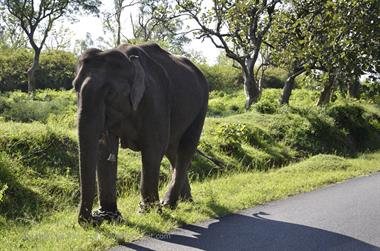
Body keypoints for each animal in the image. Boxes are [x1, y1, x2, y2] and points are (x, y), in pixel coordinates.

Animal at [72, 43, 209, 226]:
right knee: (173, 151)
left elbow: (153, 149)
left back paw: (168, 204)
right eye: (75, 88)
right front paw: (110, 216)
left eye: (110, 92)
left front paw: (147, 212)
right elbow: (104, 149)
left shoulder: (155, 100)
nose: (94, 219)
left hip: (201, 106)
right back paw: (185, 200)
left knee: (186, 148)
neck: (128, 61)